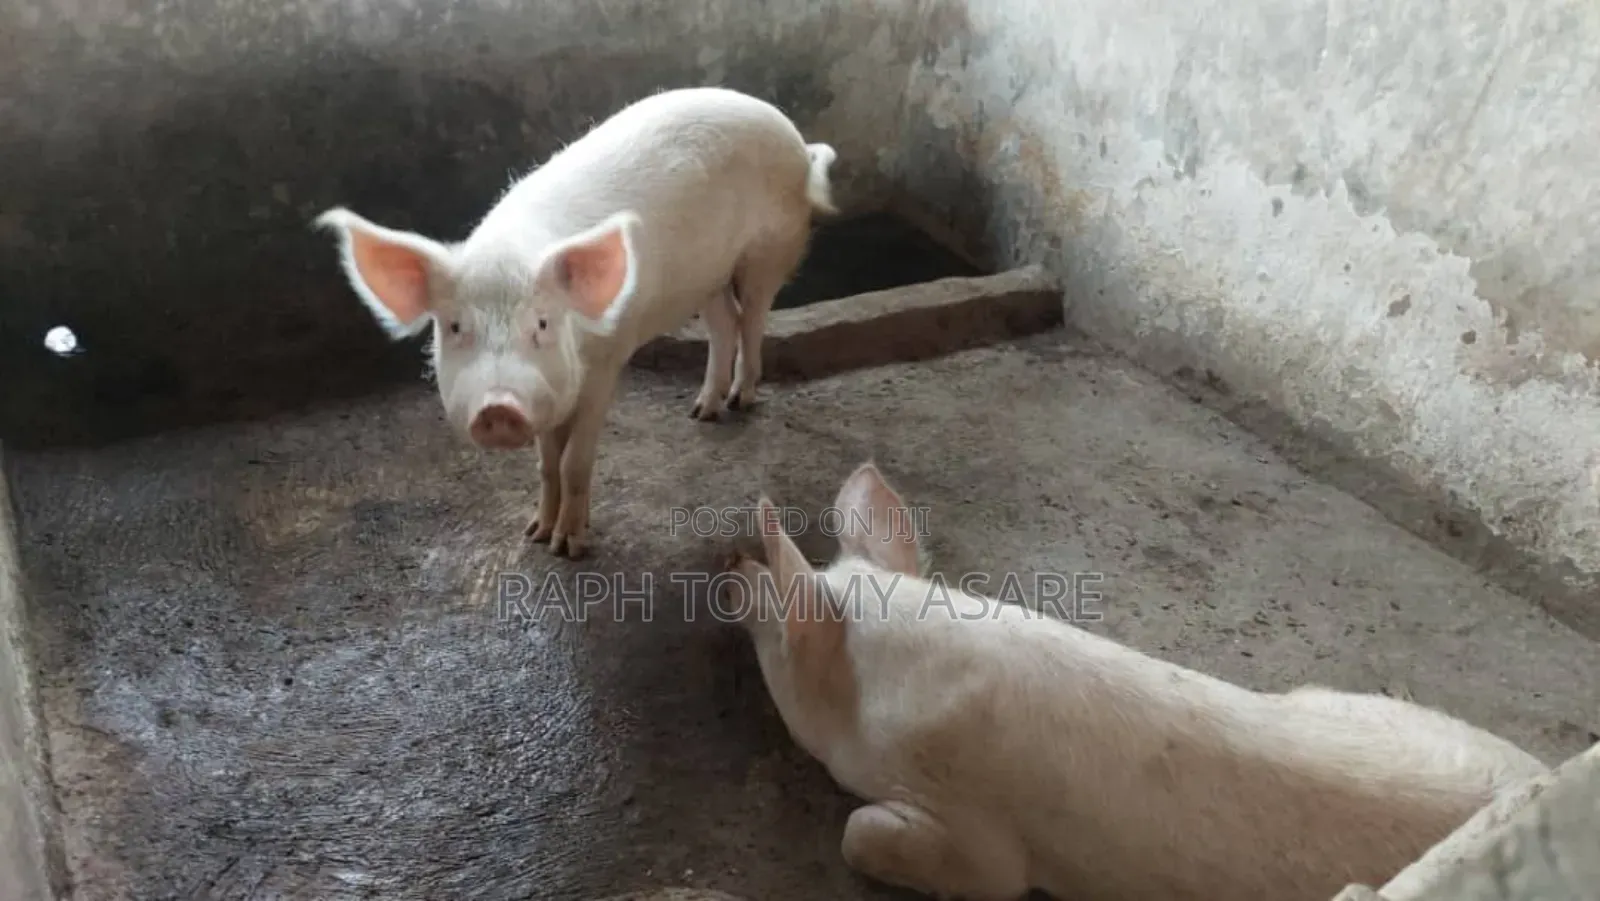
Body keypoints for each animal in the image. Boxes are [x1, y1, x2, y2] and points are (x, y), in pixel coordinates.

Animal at [313, 87, 838, 558]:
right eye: (456, 327)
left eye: (543, 324)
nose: (498, 407)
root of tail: (797, 139)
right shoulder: (549, 392)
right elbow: (548, 464)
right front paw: (535, 535)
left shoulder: (606, 363)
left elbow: (573, 462)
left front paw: (569, 548)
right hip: (705, 275)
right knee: (724, 322)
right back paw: (702, 411)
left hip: (770, 249)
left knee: (753, 317)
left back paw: (741, 400)